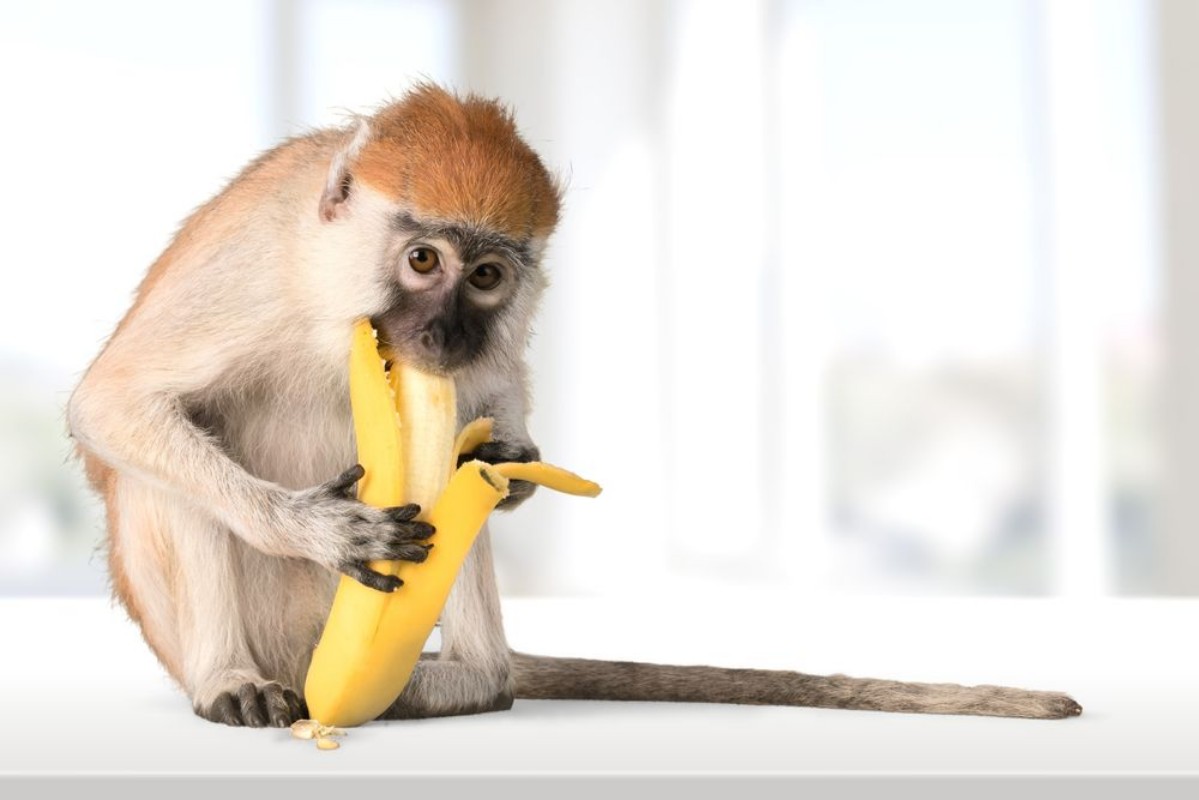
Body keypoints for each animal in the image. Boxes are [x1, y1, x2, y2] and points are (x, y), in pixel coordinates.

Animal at [67, 84, 1081, 728]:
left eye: (485, 277)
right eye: (422, 260)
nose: (443, 332)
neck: (331, 288)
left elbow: (492, 404)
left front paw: (514, 461)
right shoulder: (254, 268)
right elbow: (115, 404)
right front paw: (322, 529)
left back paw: (471, 683)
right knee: (170, 465)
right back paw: (231, 679)